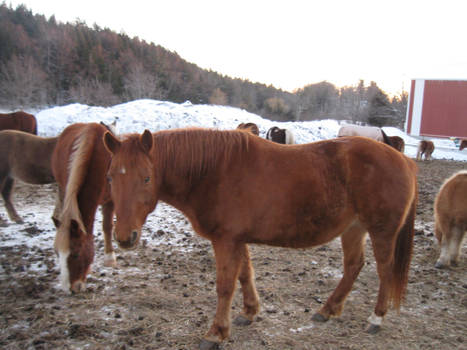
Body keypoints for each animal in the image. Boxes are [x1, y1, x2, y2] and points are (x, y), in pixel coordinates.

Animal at [51, 122, 116, 292]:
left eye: (75, 254)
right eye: (57, 253)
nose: (70, 289)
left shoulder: (111, 200)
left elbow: (107, 227)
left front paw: (110, 258)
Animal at [104, 127, 418, 348]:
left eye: (146, 177)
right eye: (110, 177)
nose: (125, 237)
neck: (212, 172)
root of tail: (403, 160)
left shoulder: (226, 240)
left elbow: (225, 286)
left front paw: (216, 333)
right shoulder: (236, 239)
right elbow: (245, 275)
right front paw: (249, 312)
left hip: (381, 231)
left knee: (385, 271)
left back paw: (376, 318)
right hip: (353, 229)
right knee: (354, 266)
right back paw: (327, 310)